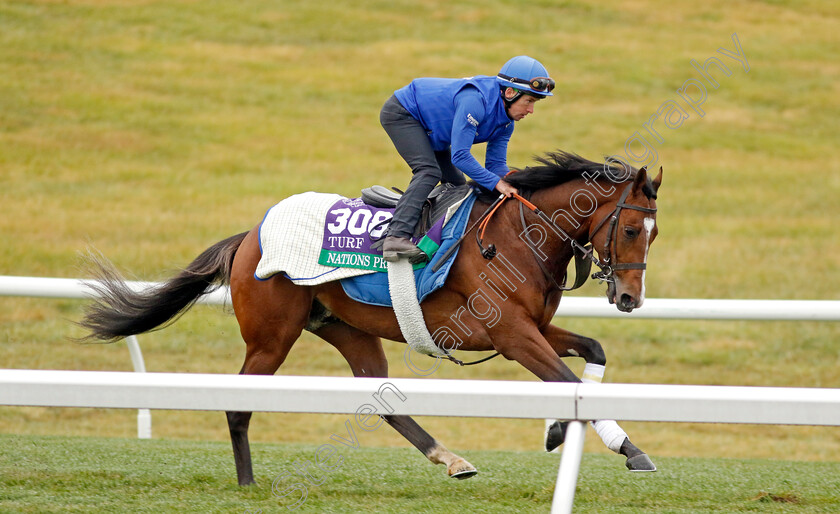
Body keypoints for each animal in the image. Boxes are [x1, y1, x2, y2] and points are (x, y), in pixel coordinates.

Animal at [82, 150, 668, 482]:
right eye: (631, 229)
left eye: (655, 232)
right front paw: (629, 448)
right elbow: (565, 377)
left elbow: (589, 356)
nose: (630, 299)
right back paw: (247, 484)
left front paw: (559, 429)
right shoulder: (512, 332)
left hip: (349, 329)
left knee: (380, 398)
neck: (518, 237)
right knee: (238, 402)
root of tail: (249, 236)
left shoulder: (536, 328)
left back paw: (450, 458)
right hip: (272, 336)